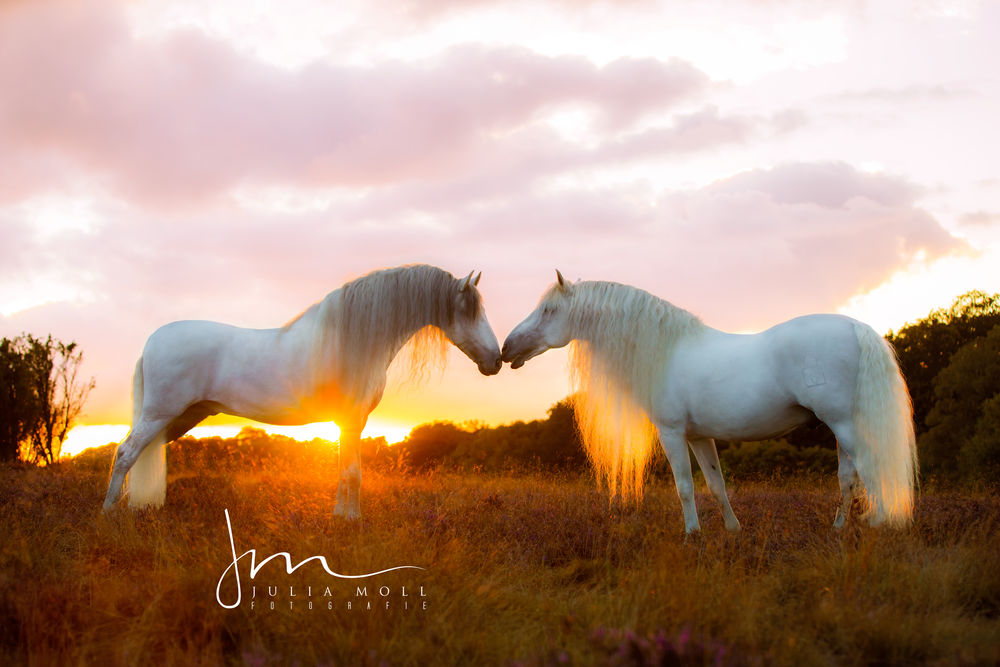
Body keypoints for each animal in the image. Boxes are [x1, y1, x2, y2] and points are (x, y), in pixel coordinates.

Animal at [103, 264, 502, 519]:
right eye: (470, 311)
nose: (496, 360)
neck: (354, 340)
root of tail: (151, 342)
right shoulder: (351, 419)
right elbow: (353, 473)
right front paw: (352, 523)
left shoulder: (350, 423)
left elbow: (345, 470)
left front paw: (341, 517)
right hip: (159, 414)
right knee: (125, 453)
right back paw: (109, 514)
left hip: (180, 417)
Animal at [501, 271, 917, 534]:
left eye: (549, 311)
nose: (507, 348)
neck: (666, 350)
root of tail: (857, 327)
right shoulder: (699, 437)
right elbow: (716, 484)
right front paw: (732, 530)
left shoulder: (671, 433)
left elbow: (684, 486)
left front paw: (692, 534)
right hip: (841, 426)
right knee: (849, 478)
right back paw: (839, 528)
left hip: (844, 424)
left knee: (870, 470)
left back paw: (878, 525)